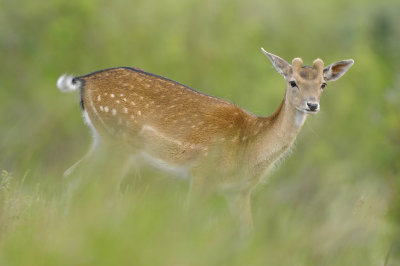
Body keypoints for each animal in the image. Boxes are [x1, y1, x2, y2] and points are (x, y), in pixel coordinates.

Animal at [55, 48, 354, 232]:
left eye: (323, 84)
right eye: (292, 82)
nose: (312, 104)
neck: (251, 147)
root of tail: (84, 81)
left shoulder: (239, 191)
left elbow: (248, 233)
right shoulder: (203, 174)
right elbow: (188, 219)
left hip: (102, 141)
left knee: (72, 176)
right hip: (119, 144)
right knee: (97, 188)